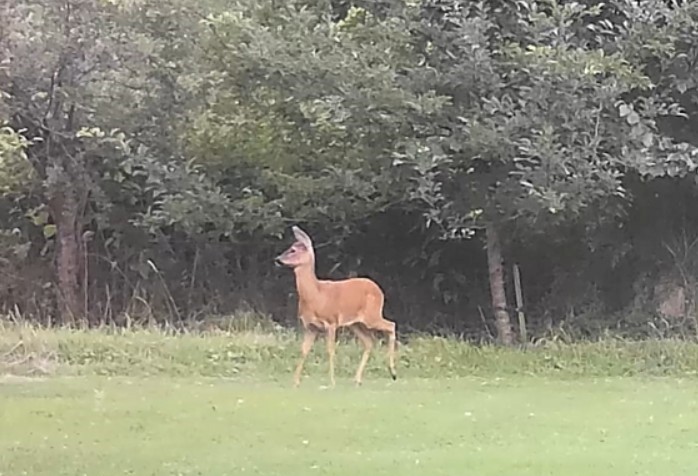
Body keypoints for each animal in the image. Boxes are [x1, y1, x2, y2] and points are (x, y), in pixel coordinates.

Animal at [275, 226, 397, 387]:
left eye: (293, 250)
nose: (277, 259)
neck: (316, 295)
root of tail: (379, 290)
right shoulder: (310, 326)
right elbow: (304, 350)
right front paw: (295, 381)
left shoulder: (331, 321)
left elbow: (330, 350)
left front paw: (332, 381)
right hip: (356, 323)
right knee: (369, 342)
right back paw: (357, 379)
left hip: (372, 315)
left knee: (391, 325)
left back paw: (393, 373)